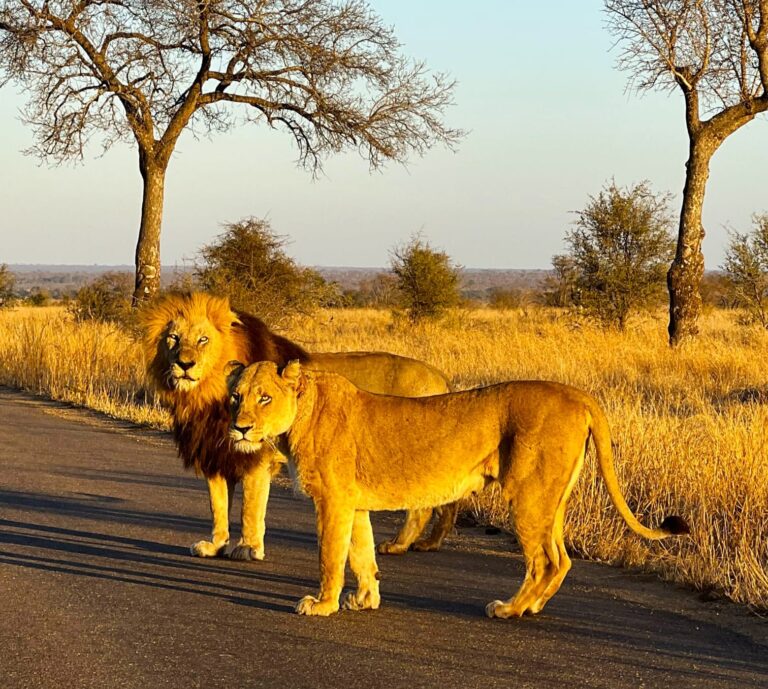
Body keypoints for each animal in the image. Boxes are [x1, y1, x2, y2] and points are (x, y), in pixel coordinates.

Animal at [140, 290, 456, 560]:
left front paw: (247, 548)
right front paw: (215, 545)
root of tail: (440, 377)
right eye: (174, 338)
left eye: (203, 340)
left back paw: (398, 544)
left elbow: (250, 507)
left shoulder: (257, 458)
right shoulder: (216, 453)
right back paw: (429, 543)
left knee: (422, 508)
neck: (203, 396)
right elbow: (217, 505)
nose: (185, 364)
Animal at [225, 360, 688, 620]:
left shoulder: (333, 500)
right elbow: (361, 554)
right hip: (550, 497)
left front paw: (322, 605)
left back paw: (510, 610)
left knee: (544, 560)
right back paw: (532, 606)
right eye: (235, 397)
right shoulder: (352, 503)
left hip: (527, 494)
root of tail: (577, 395)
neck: (301, 412)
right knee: (561, 558)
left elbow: (330, 557)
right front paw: (366, 599)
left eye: (264, 398)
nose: (240, 427)